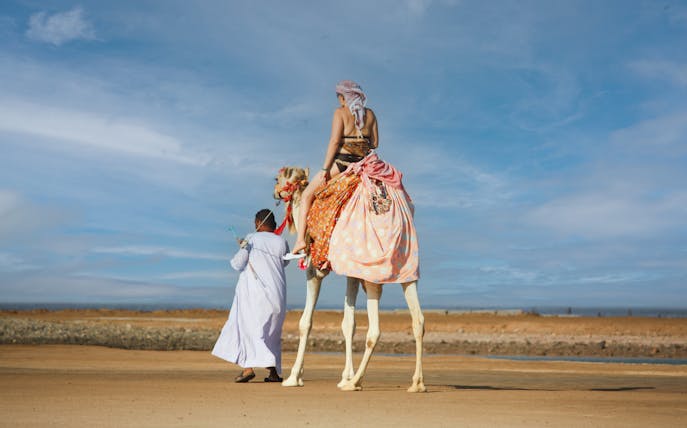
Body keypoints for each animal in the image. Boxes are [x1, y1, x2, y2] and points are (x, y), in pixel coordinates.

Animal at [273, 166, 426, 392]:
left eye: (277, 178)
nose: (275, 193)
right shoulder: (352, 274)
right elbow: (349, 324)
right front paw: (345, 376)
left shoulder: (313, 270)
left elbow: (305, 322)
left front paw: (294, 377)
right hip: (408, 269)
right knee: (418, 321)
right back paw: (417, 383)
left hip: (372, 274)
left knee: (375, 331)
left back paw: (356, 383)